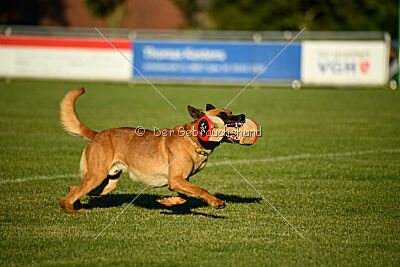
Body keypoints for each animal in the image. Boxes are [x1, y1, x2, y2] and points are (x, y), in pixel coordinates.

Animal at [59, 89, 245, 215]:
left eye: (231, 112)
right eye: (223, 115)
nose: (242, 116)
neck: (194, 141)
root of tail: (97, 135)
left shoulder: (180, 180)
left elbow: (183, 197)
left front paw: (167, 202)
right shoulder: (176, 180)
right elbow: (201, 190)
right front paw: (216, 202)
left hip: (106, 182)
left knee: (73, 188)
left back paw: (78, 205)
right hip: (97, 176)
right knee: (66, 198)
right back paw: (73, 210)